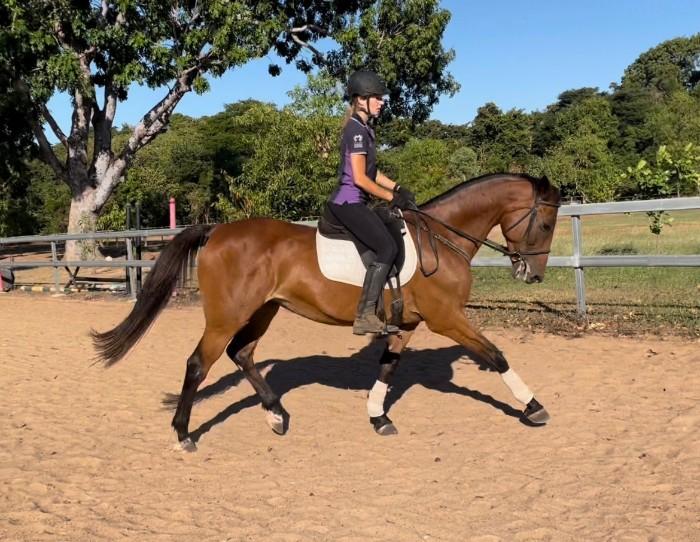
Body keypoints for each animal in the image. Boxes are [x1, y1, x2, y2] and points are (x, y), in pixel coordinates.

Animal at [92, 172, 561, 451]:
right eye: (545, 224)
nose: (534, 274)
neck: (441, 241)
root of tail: (217, 230)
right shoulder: (447, 319)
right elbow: (497, 354)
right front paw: (533, 407)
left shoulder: (407, 323)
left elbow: (388, 367)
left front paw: (378, 418)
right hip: (227, 316)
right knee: (198, 363)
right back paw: (184, 434)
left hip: (264, 310)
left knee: (242, 354)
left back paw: (276, 415)